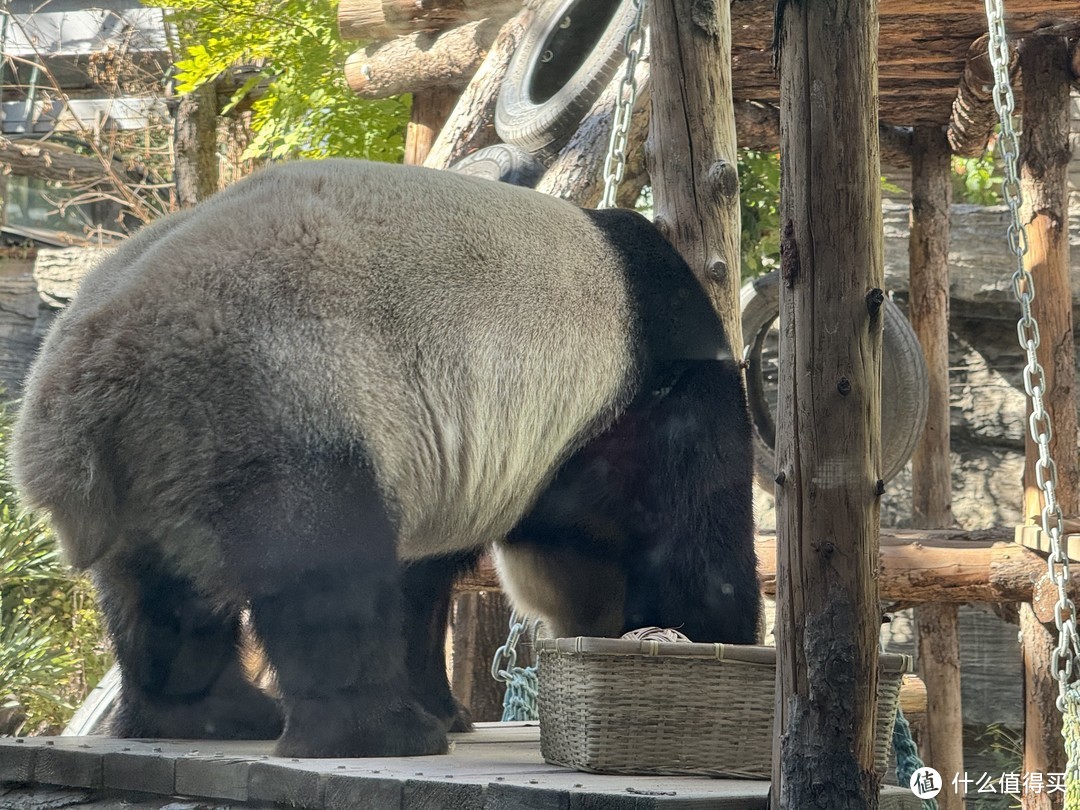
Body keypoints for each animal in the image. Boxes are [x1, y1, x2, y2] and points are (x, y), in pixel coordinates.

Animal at [14, 159, 760, 760]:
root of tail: (79, 392)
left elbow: (419, 577)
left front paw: (445, 702)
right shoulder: (640, 400)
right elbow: (690, 539)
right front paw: (708, 639)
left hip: (157, 459)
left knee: (157, 597)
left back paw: (215, 716)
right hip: (269, 395)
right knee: (323, 572)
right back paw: (382, 734)